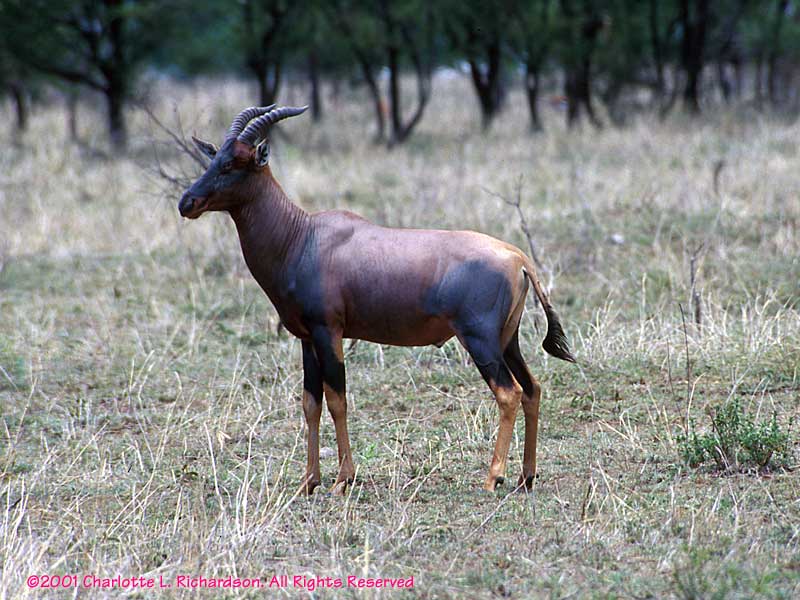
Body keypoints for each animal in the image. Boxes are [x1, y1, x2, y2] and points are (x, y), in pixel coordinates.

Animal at [179, 105, 576, 495]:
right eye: (213, 159)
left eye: (233, 164)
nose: (187, 203)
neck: (303, 236)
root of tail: (518, 257)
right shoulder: (306, 338)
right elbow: (310, 403)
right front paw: (309, 481)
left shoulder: (328, 331)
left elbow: (337, 400)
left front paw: (343, 479)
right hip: (507, 341)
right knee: (532, 389)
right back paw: (526, 477)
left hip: (480, 340)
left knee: (508, 393)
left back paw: (493, 478)